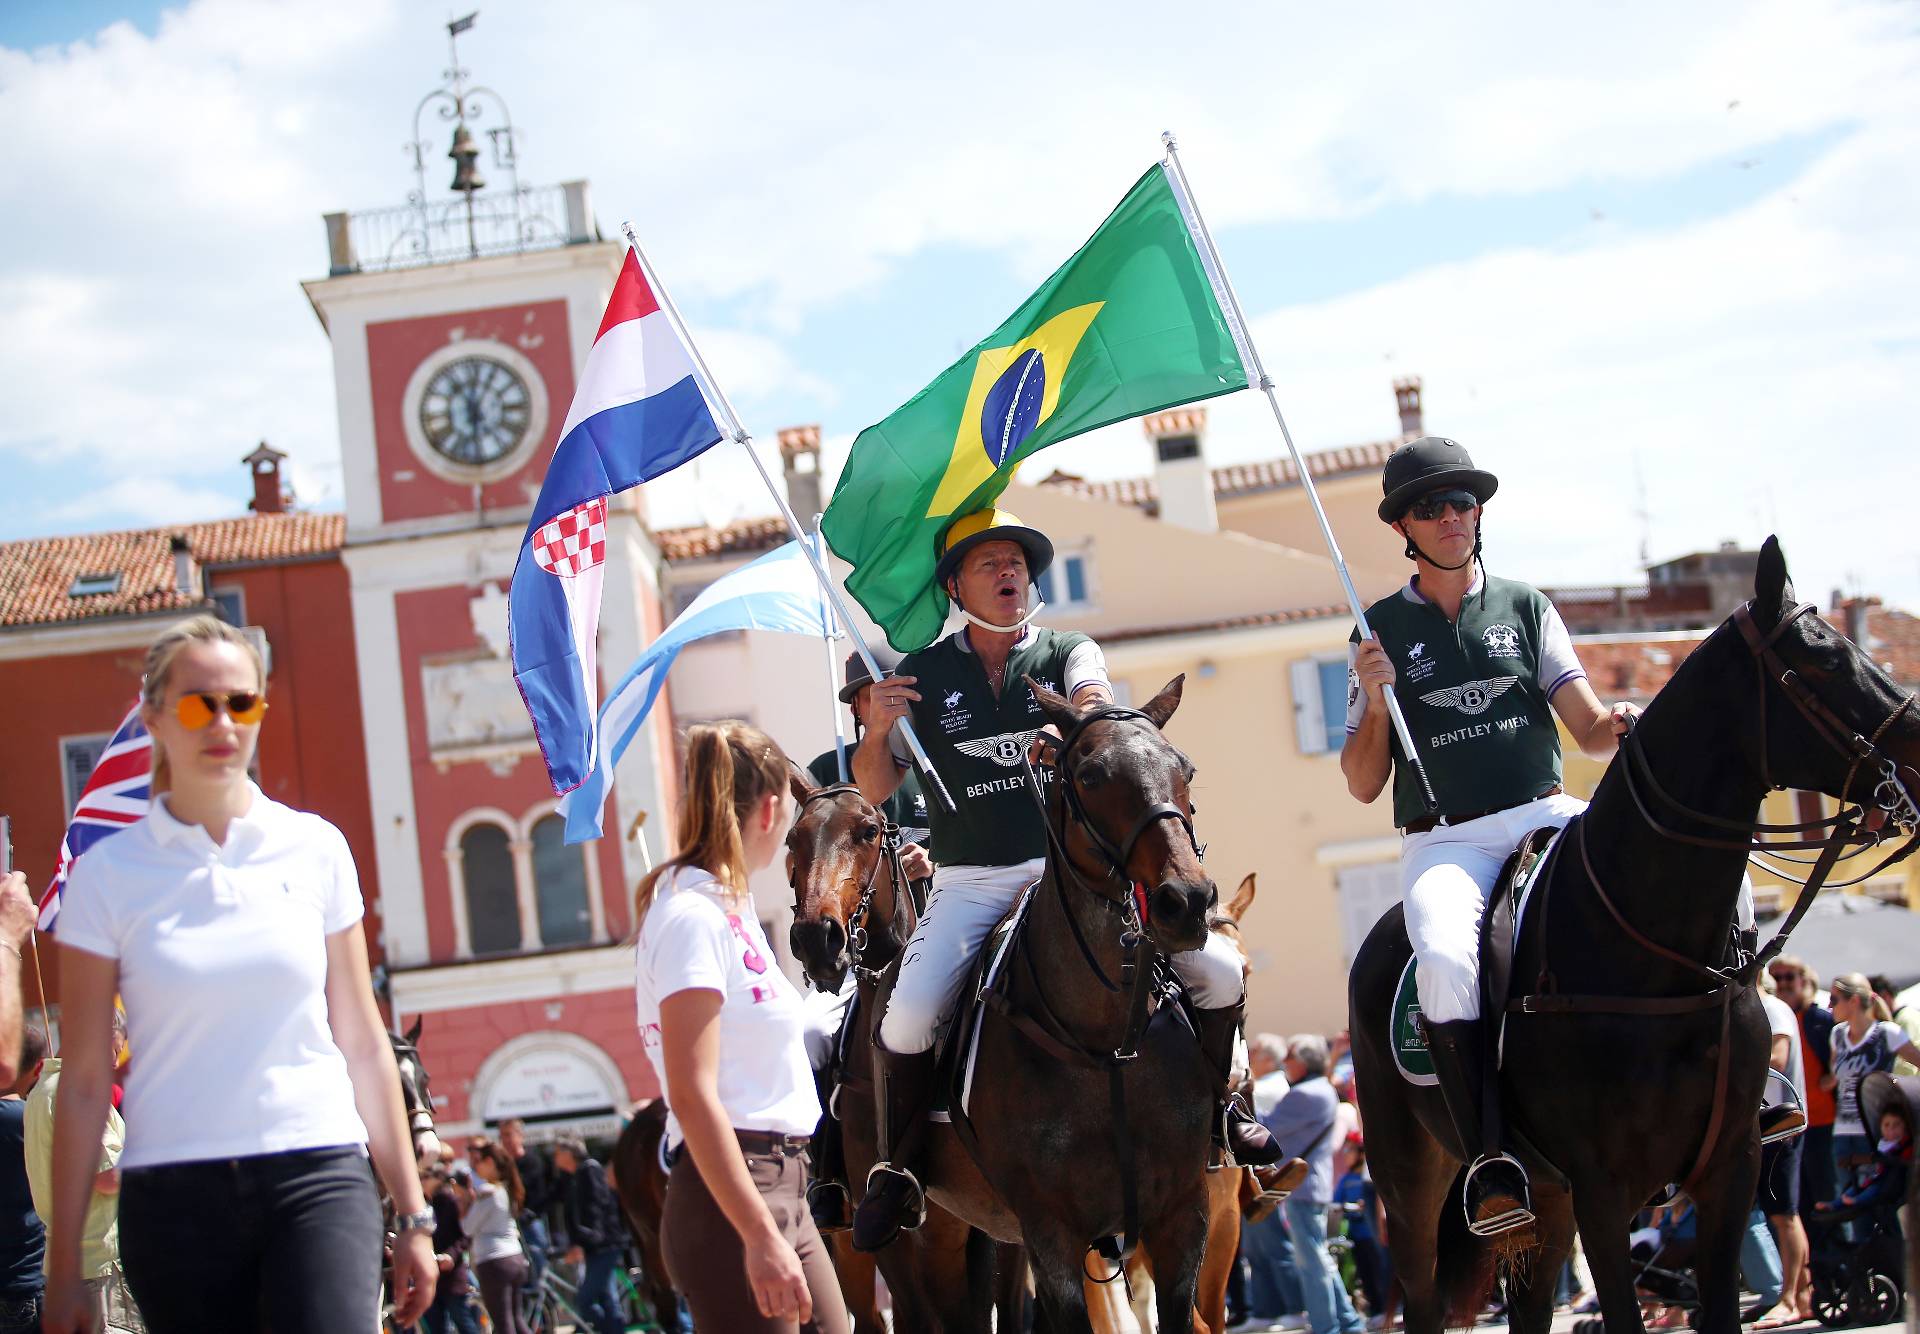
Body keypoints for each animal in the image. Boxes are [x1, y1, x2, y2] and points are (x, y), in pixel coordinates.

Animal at [779, 767, 1021, 1328]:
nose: (816, 938)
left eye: (869, 832)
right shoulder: (897, 1242)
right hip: (845, 1250)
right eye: (792, 839)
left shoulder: (993, 1235)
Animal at [1351, 537, 1920, 1334]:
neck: (1656, 957)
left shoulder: (1728, 1172)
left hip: (1545, 1201)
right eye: (1828, 663)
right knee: (1424, 1300)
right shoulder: (1602, 1190)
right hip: (1414, 1187)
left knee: (1530, 1307)